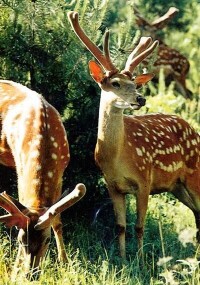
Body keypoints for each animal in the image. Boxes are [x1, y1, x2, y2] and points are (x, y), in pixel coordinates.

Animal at [0, 80, 85, 278]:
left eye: (47, 241)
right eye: (20, 241)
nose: (30, 274)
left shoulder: (61, 170)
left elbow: (58, 221)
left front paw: (65, 262)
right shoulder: (20, 167)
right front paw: (15, 269)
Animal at [67, 11, 200, 260]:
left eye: (134, 82)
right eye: (115, 83)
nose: (141, 98)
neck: (117, 156)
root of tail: (194, 131)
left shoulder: (144, 180)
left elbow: (139, 226)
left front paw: (140, 260)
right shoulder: (112, 185)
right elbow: (120, 226)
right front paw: (122, 259)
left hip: (194, 174)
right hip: (177, 185)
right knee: (197, 211)